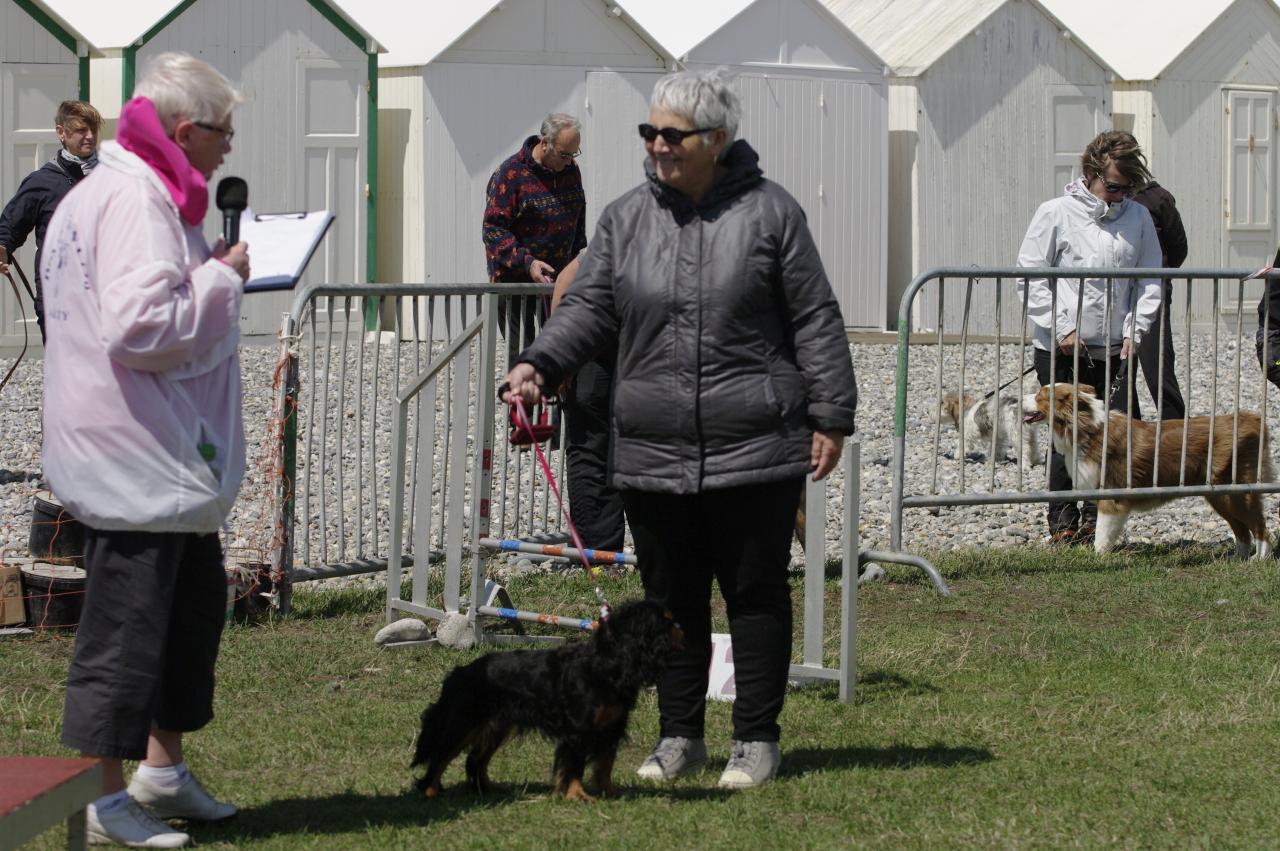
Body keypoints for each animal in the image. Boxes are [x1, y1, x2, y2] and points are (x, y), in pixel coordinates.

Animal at [414, 596, 686, 798]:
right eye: (667, 622)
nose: (681, 628)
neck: (607, 665)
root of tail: (460, 672)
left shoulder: (611, 728)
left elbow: (604, 764)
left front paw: (610, 792)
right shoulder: (578, 731)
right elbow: (574, 765)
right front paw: (577, 795)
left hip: (497, 726)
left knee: (474, 760)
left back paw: (487, 790)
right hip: (463, 723)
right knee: (440, 756)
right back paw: (429, 791)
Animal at [1018, 383, 1269, 557]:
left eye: (1040, 395)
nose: (1016, 398)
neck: (1087, 430)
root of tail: (1251, 419)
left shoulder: (1112, 496)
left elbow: (1102, 534)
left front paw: (1097, 558)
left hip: (1235, 491)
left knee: (1258, 524)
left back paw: (1259, 560)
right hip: (1219, 495)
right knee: (1241, 530)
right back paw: (1237, 558)